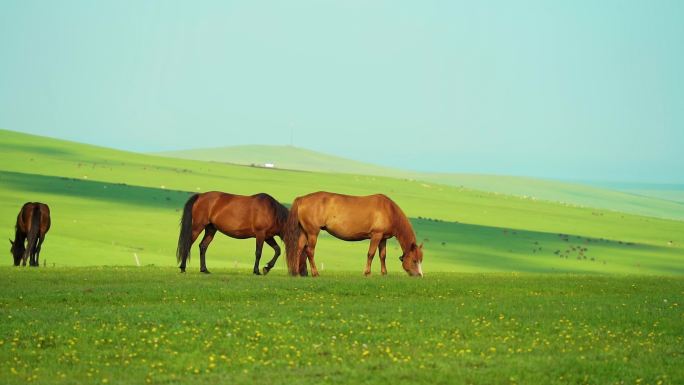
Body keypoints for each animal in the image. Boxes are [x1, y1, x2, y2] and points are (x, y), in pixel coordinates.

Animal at [282, 191, 422, 276]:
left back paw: (296, 273)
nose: (420, 275)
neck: (388, 210)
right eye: (414, 260)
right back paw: (315, 273)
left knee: (298, 249)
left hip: (304, 232)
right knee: (309, 251)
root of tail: (301, 199)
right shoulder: (376, 235)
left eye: (421, 260)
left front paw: (384, 273)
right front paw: (367, 273)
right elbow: (371, 254)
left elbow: (382, 255)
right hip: (312, 233)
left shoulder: (383, 238)